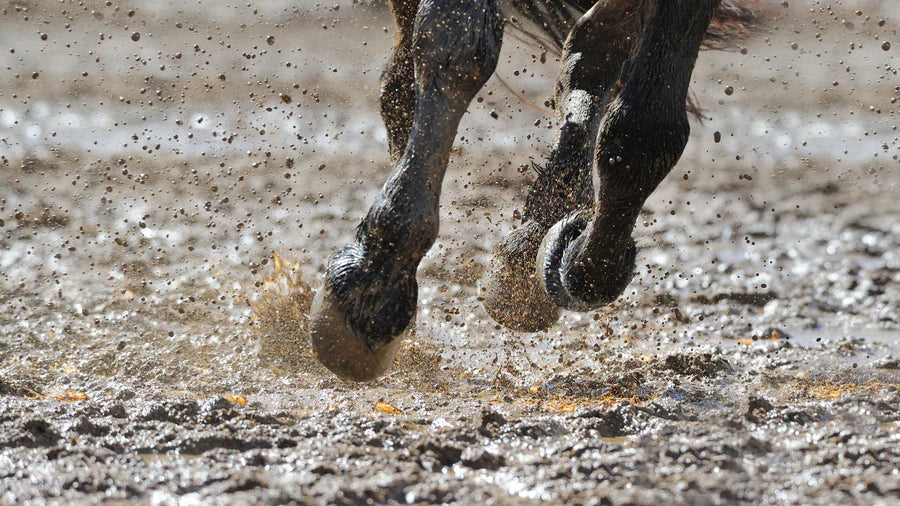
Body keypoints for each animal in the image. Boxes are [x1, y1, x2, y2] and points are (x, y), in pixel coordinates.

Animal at [306, 0, 760, 381]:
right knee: (401, 82)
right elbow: (457, 43)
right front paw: (375, 282)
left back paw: (534, 244)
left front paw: (579, 258)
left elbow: (645, 126)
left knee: (593, 45)